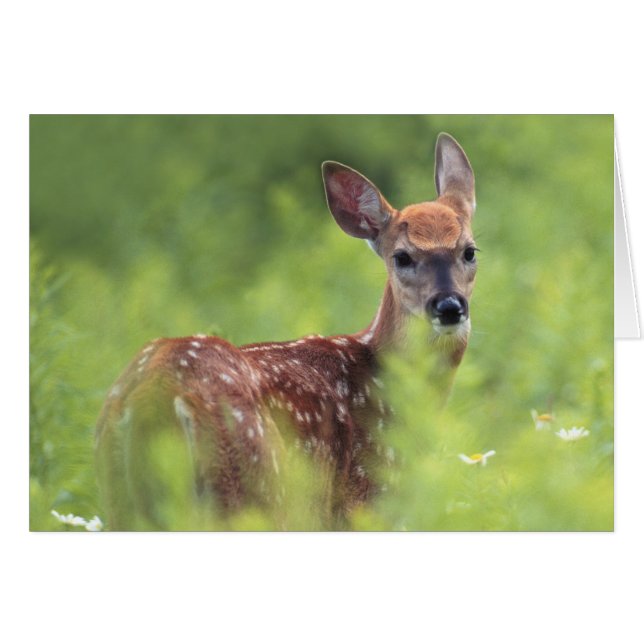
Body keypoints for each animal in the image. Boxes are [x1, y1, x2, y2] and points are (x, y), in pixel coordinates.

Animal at [95, 133, 478, 530]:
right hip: (250, 487)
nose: (449, 306)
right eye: (401, 256)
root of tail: (154, 393)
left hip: (120, 497)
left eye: (469, 251)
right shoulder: (365, 500)